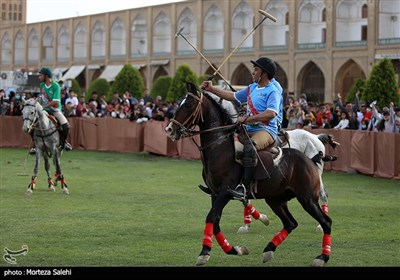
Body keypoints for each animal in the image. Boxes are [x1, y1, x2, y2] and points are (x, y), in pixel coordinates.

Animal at [164, 81, 332, 266]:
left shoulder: (226, 191)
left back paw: (322, 257)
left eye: (187, 104)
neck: (219, 147)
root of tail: (310, 159)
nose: (169, 129)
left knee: (326, 220)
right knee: (291, 223)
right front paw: (234, 249)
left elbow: (211, 217)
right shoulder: (215, 193)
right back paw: (269, 250)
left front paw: (204, 253)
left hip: (307, 198)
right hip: (276, 199)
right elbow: (216, 221)